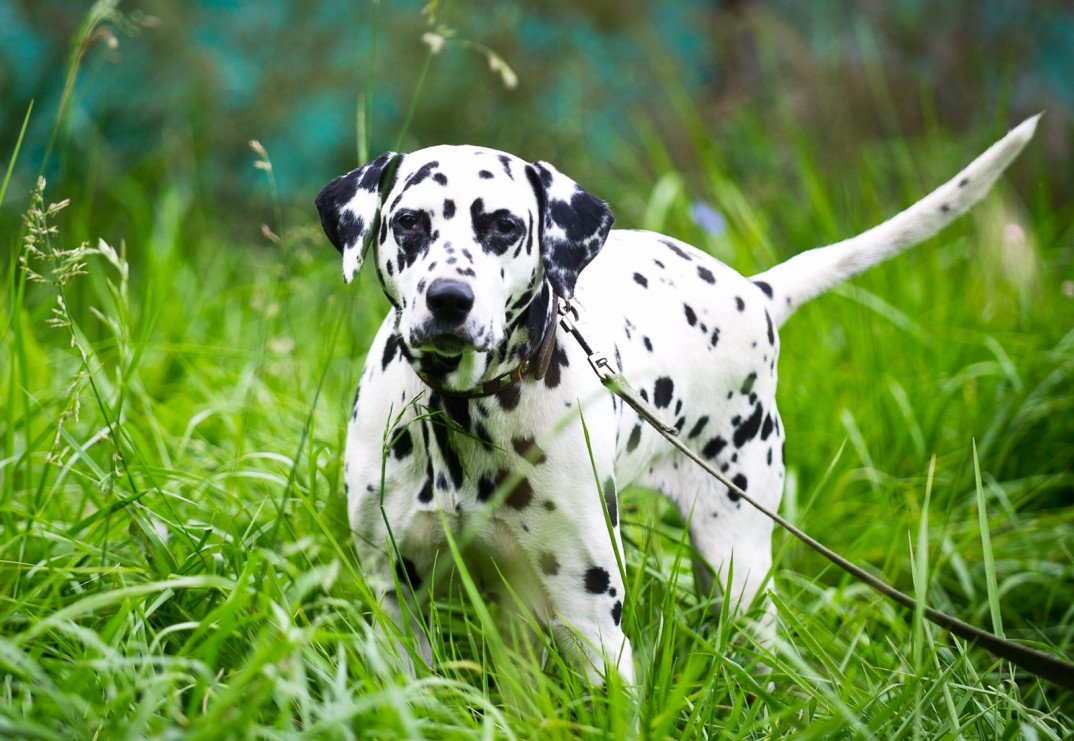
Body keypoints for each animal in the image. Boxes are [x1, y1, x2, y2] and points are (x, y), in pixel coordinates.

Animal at [315, 115, 1039, 683]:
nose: (449, 299)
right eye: (408, 222)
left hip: (737, 563)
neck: (466, 414)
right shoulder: (396, 597)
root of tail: (755, 292)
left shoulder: (591, 616)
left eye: (503, 226)